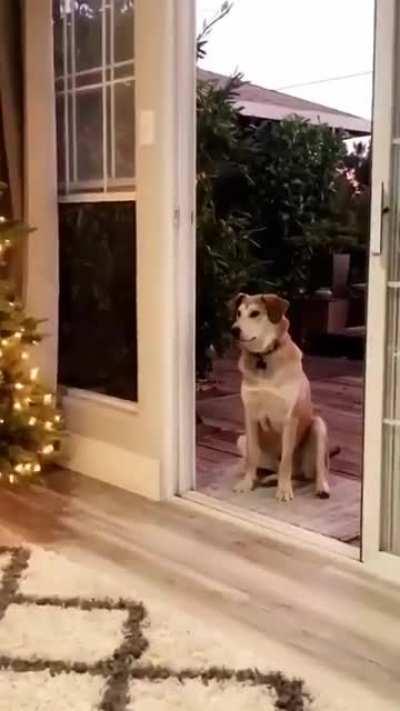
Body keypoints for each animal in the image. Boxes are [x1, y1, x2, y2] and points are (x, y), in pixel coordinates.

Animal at [231, 292, 332, 504]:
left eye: (255, 313)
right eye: (238, 313)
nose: (234, 330)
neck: (264, 357)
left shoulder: (289, 420)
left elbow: (286, 459)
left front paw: (284, 491)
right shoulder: (250, 417)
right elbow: (252, 455)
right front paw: (247, 483)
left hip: (318, 427)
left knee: (314, 472)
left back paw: (320, 488)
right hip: (241, 439)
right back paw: (268, 478)